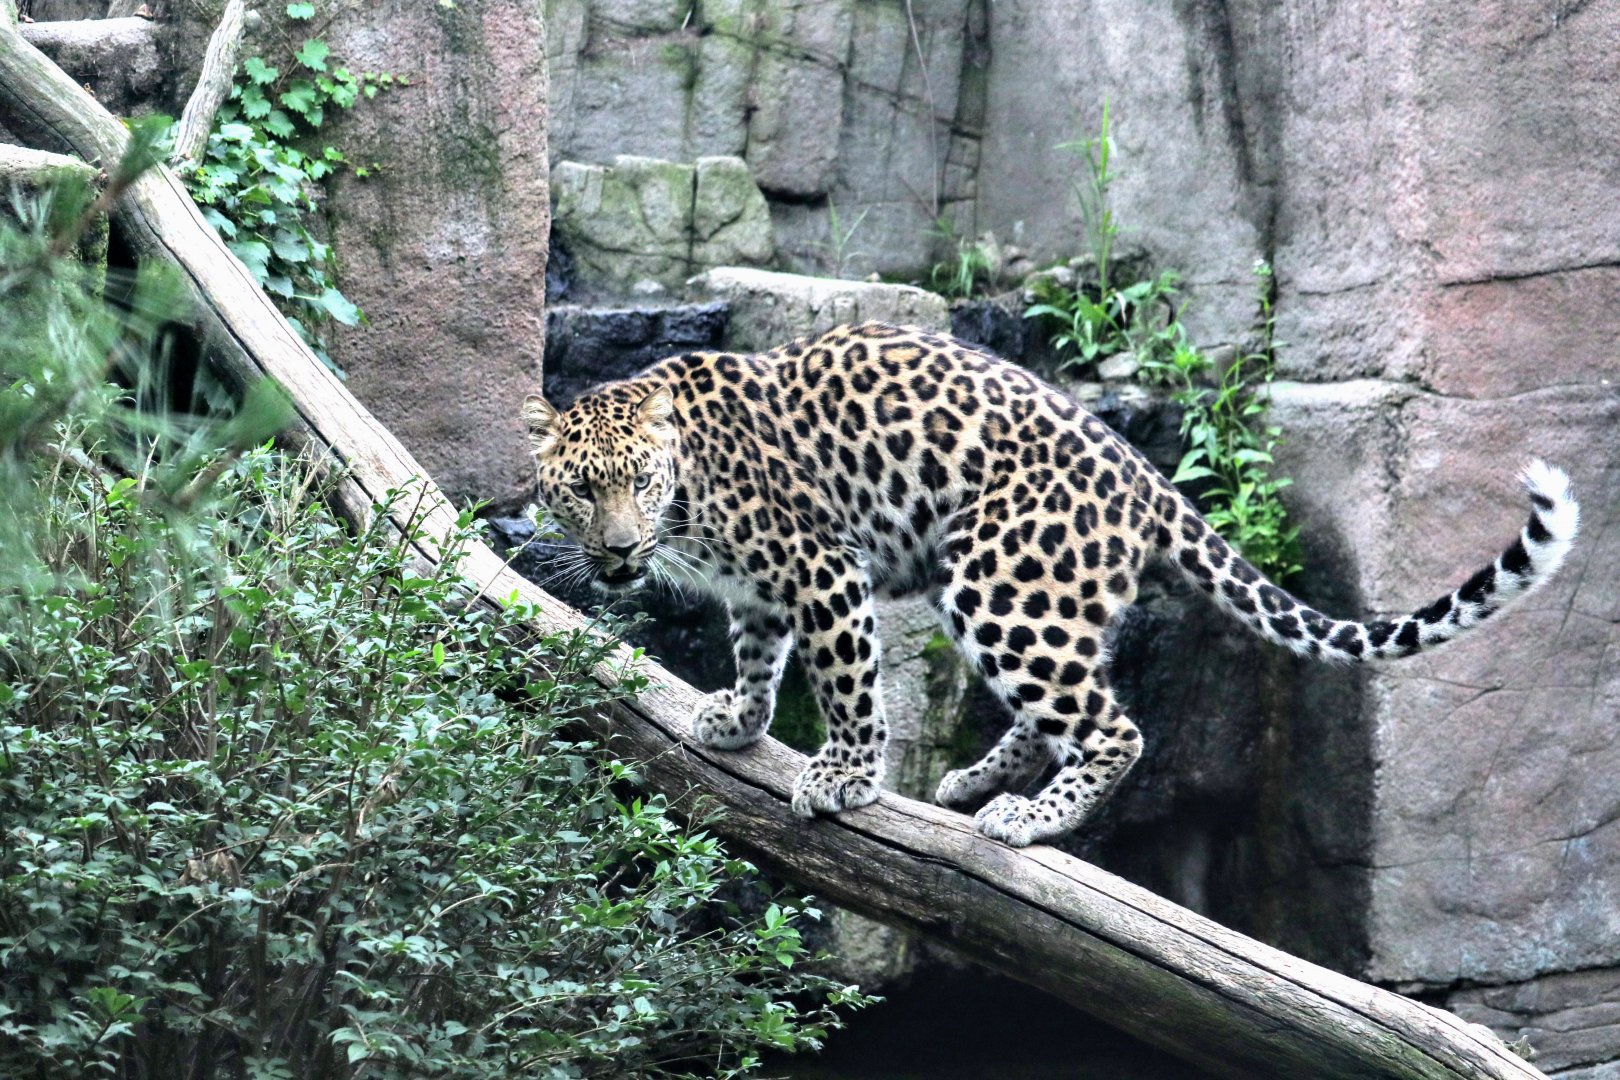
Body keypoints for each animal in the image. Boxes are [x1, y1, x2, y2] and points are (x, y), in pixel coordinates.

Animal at [522, 322, 1580, 848]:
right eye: (580, 491)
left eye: (639, 483)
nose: (618, 553)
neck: (691, 495)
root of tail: (1145, 474)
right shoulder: (758, 589)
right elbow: (755, 652)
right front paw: (736, 718)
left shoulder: (820, 565)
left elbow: (849, 681)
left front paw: (845, 776)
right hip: (1025, 590)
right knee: (1062, 707)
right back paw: (976, 780)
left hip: (999, 577)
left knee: (1114, 726)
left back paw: (1029, 819)